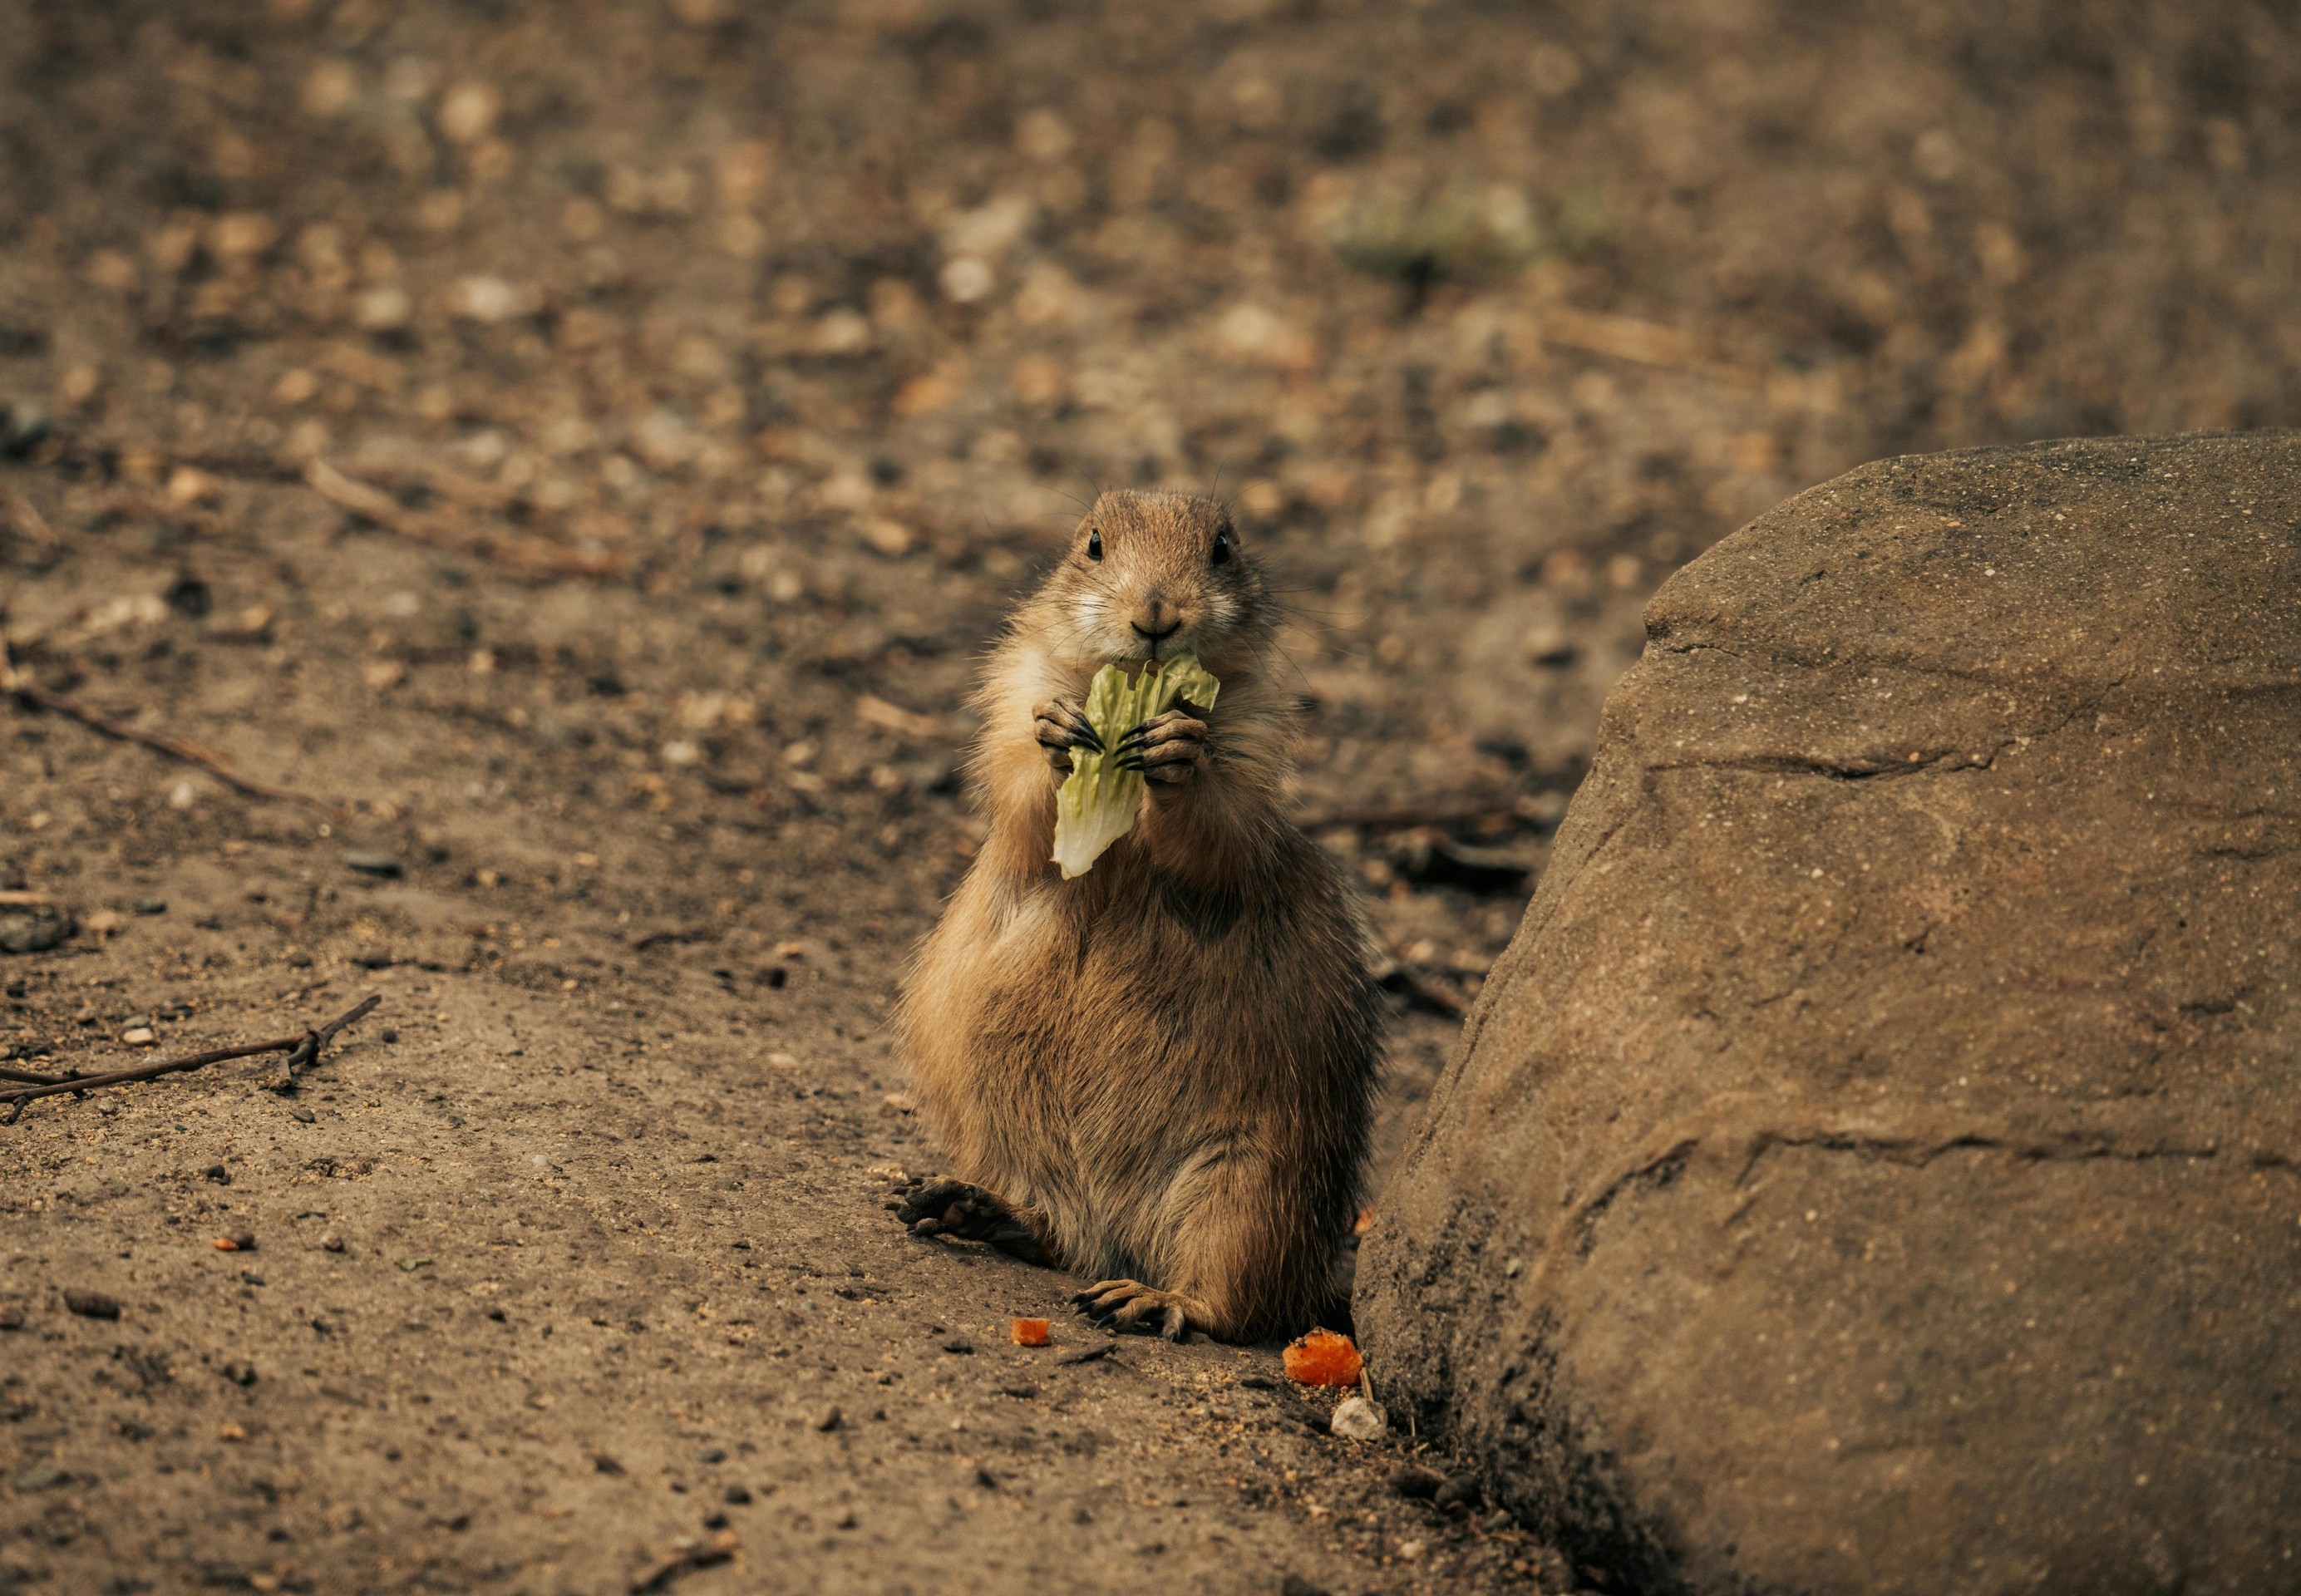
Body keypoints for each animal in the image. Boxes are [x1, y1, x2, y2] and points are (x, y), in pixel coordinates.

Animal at [894, 489, 1382, 1342]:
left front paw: (1178, 749)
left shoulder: (1256, 735)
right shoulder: (1011, 685)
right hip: (999, 1126)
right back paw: (967, 1205)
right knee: (1057, 1235)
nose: (1157, 613)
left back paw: (1149, 1298)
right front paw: (1060, 733)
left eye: (1223, 548)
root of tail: (1115, 1231)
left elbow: (1228, 828)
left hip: (1252, 1180)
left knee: (1235, 1301)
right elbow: (1017, 784)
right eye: (1092, 543)